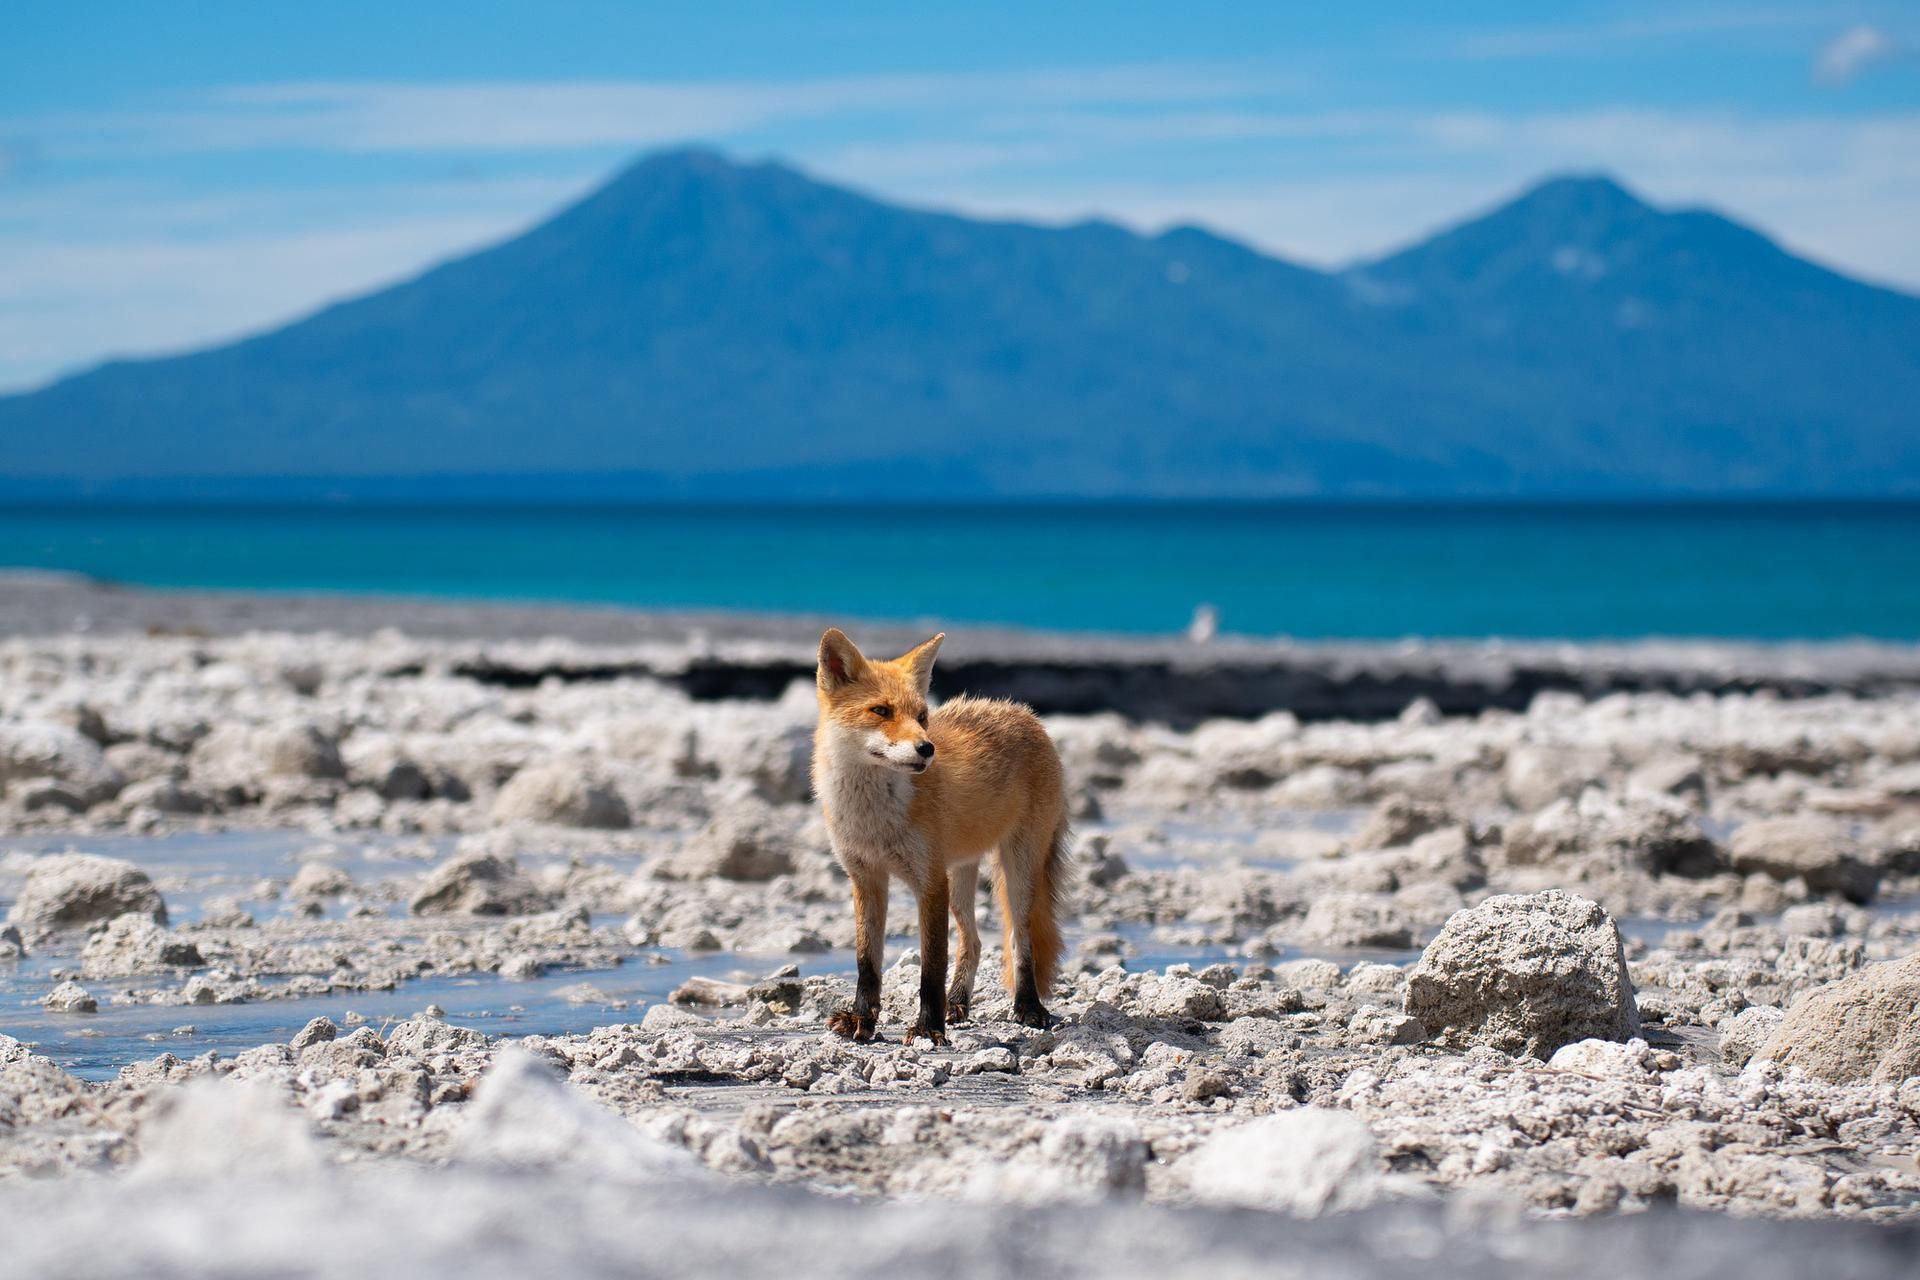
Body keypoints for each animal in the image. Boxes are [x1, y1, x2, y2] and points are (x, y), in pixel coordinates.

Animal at [814, 625, 1075, 1043]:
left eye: (922, 716)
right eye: (881, 711)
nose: (926, 748)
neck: (873, 821)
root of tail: (1023, 712)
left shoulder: (930, 882)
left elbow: (931, 967)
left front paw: (927, 1028)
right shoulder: (866, 878)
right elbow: (867, 962)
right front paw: (862, 1020)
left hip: (1016, 872)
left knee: (1020, 941)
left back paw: (1028, 1007)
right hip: (960, 877)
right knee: (975, 941)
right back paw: (958, 1002)